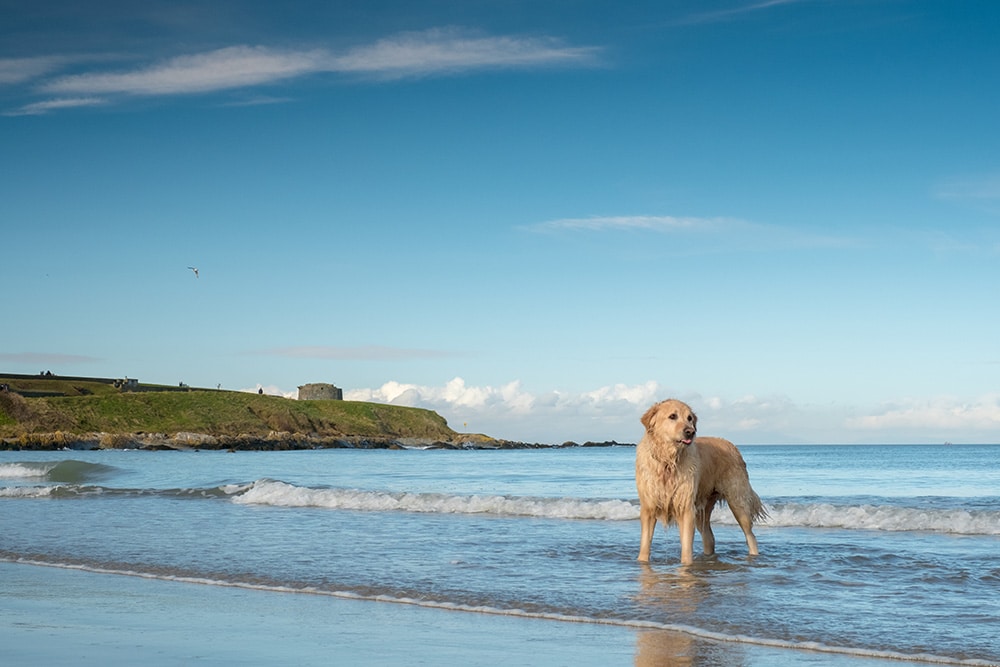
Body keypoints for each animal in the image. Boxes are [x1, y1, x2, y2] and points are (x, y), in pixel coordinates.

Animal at [636, 402, 768, 564]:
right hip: (702, 509)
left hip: (737, 502)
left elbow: (686, 548)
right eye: (672, 416)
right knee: (709, 537)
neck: (668, 460)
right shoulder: (648, 508)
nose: (690, 432)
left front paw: (687, 565)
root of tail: (732, 445)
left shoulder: (686, 508)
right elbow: (645, 545)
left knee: (750, 535)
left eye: (689, 418)